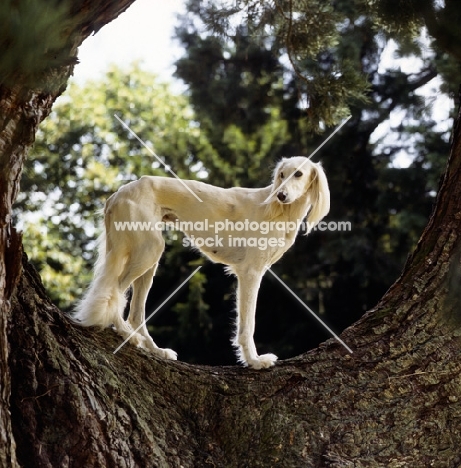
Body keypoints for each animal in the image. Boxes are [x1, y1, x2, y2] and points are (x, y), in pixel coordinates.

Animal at [73, 157, 328, 370]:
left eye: (298, 174)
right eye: (282, 175)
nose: (281, 195)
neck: (281, 212)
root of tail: (117, 194)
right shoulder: (250, 272)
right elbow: (247, 324)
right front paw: (254, 361)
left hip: (148, 257)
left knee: (135, 313)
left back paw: (156, 350)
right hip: (148, 250)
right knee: (114, 291)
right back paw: (127, 335)